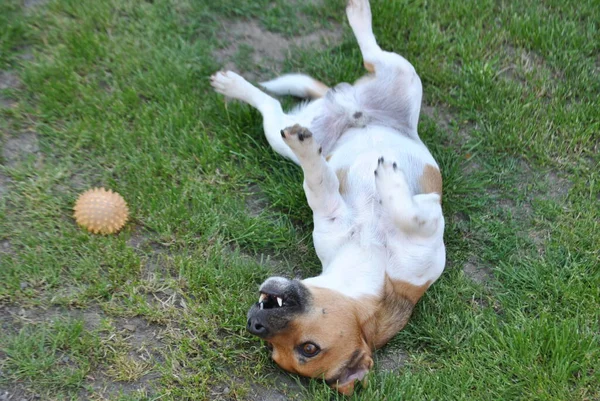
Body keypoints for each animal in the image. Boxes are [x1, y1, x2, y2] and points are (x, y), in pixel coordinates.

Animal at [211, 0, 446, 394]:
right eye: (272, 347)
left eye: (307, 349)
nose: (254, 323)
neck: (370, 261)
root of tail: (346, 106)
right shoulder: (331, 211)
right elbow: (318, 179)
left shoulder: (427, 231)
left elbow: (407, 212)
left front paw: (389, 182)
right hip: (375, 87)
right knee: (282, 99)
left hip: (401, 77)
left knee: (364, 58)